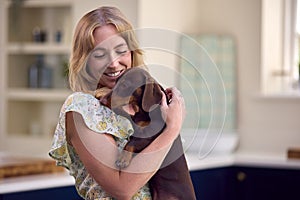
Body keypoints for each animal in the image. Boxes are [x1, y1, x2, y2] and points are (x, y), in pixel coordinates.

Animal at [96, 67, 197, 200]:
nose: (102, 101)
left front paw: (123, 159)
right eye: (115, 82)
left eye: (125, 84)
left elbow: (131, 142)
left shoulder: (148, 135)